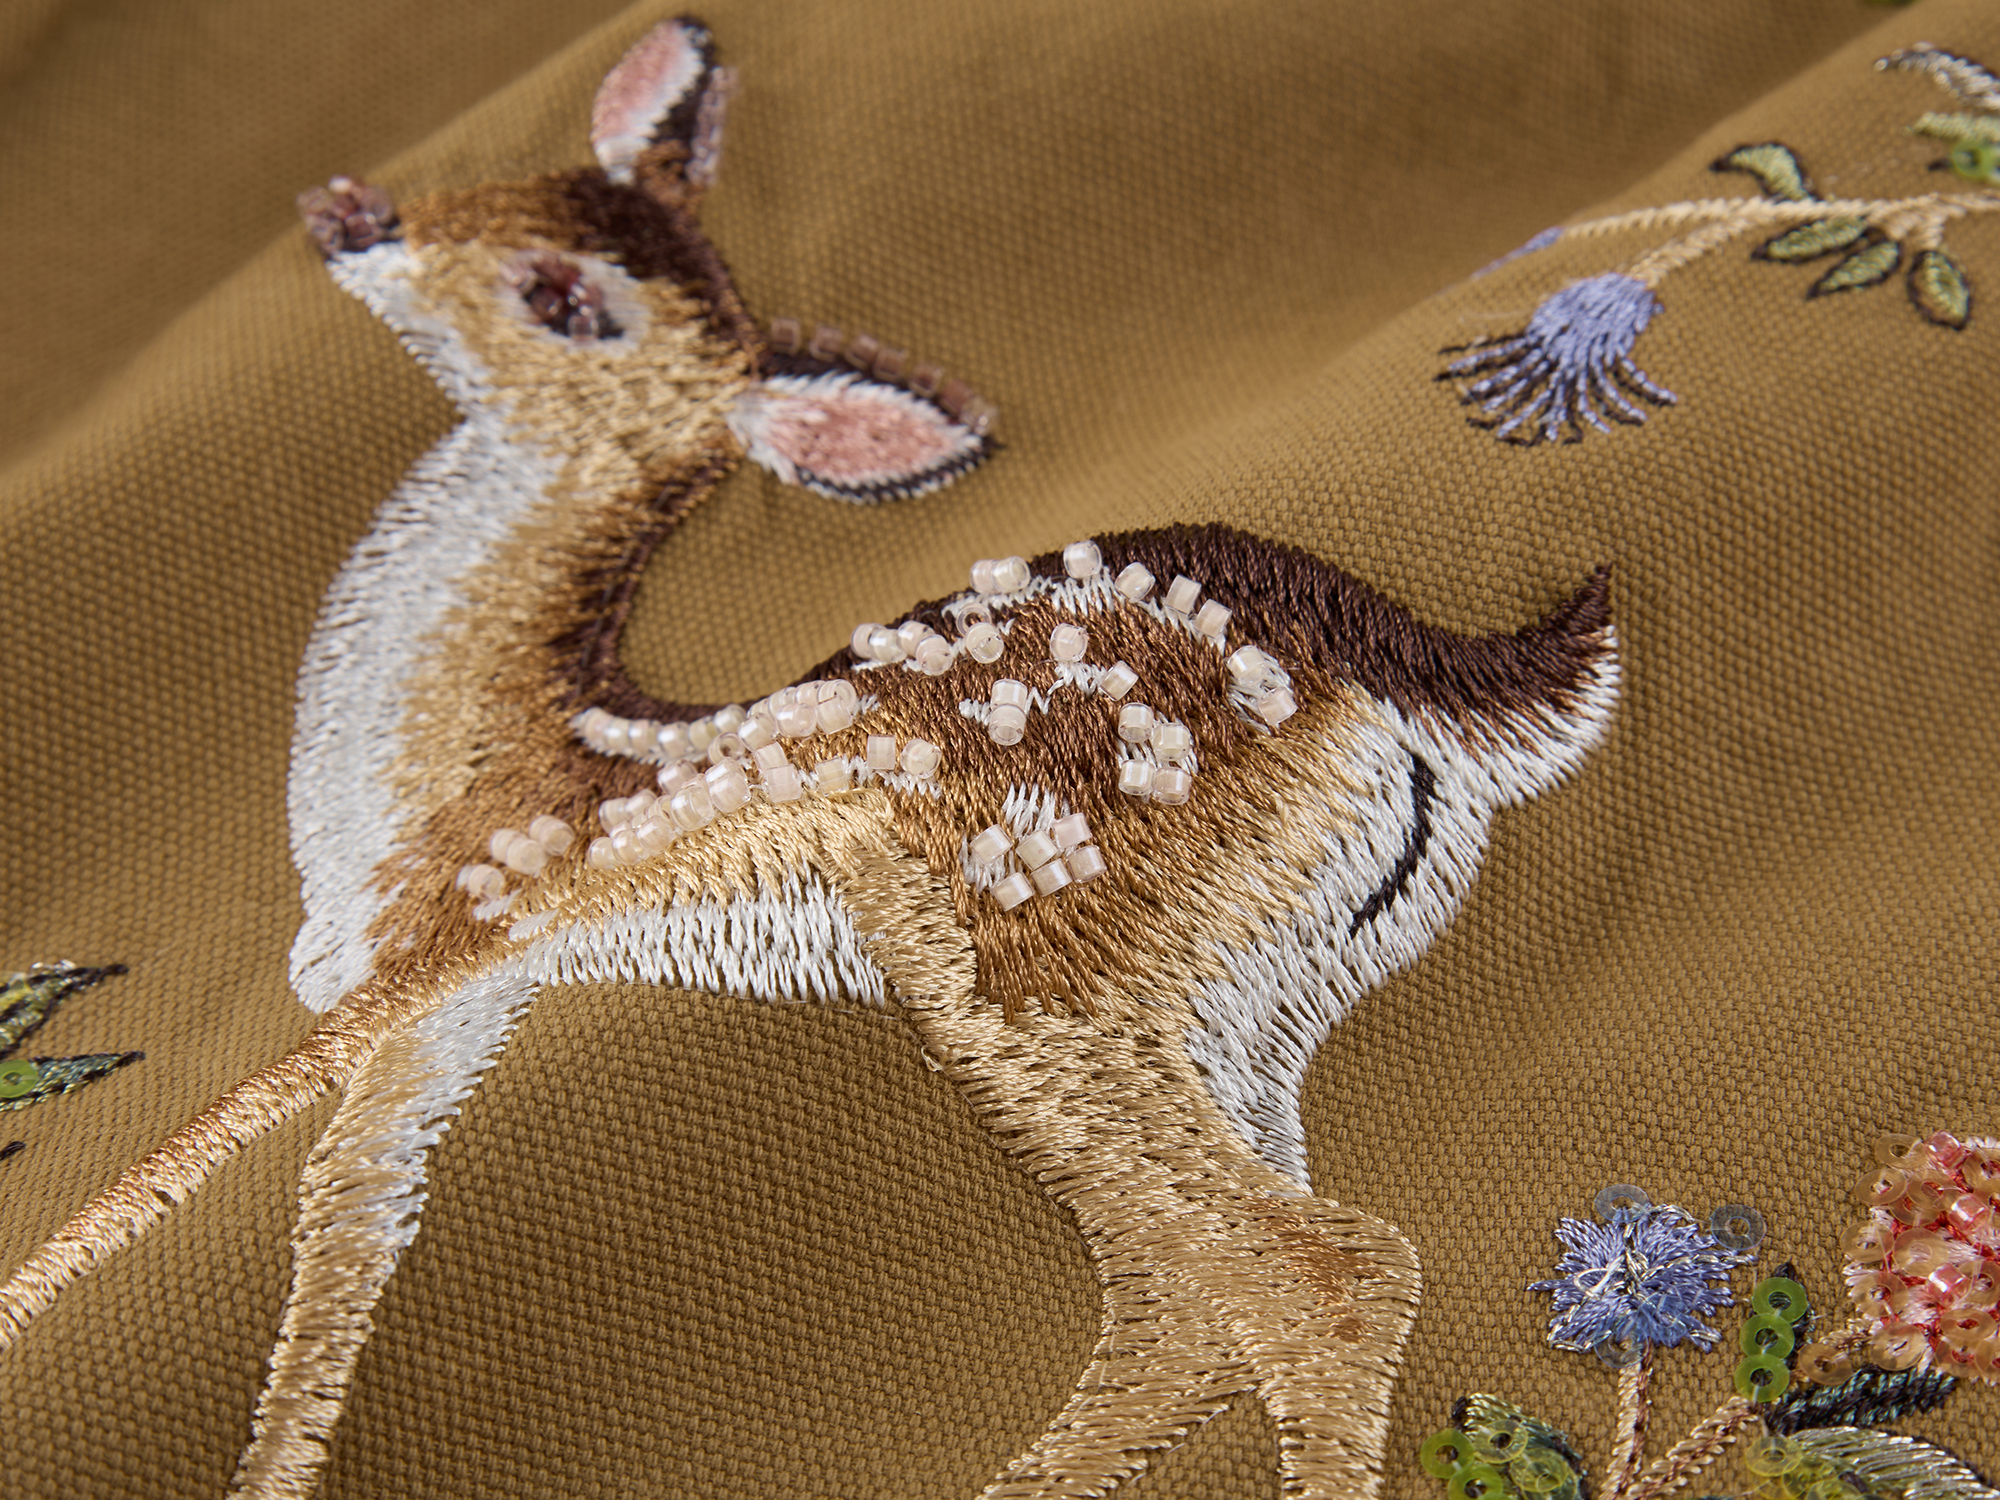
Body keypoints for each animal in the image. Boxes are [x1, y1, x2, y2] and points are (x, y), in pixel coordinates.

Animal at [0, 19, 1618, 1500]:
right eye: (499, 189)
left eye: (562, 296)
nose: (348, 211)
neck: (458, 763)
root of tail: (1406, 673)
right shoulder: (437, 1016)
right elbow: (340, 1246)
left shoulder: (428, 970)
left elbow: (210, 1199)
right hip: (1247, 1005)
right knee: (1198, 1292)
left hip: (1029, 968)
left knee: (1317, 1272)